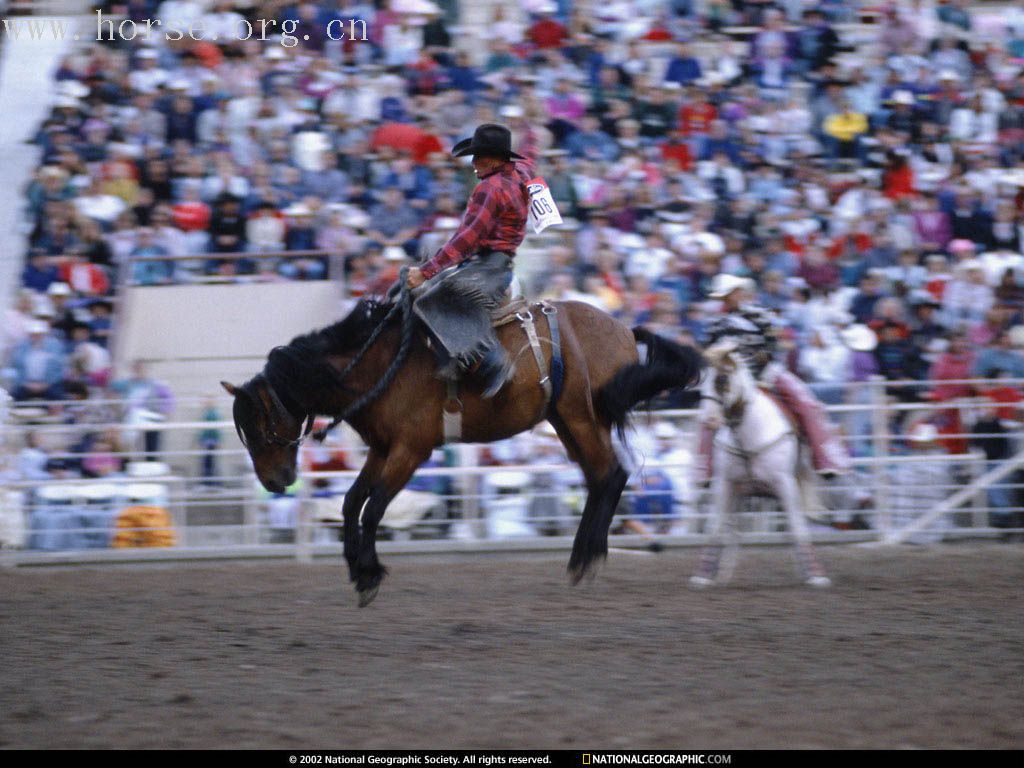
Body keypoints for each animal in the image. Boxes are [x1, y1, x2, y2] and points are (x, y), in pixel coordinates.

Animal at [696, 342, 831, 589]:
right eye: (701, 381)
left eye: (722, 378)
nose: (708, 421)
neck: (749, 434)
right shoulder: (724, 484)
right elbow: (714, 527)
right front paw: (702, 576)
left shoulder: (785, 483)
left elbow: (798, 527)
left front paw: (817, 576)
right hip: (739, 493)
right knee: (732, 531)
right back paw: (724, 574)